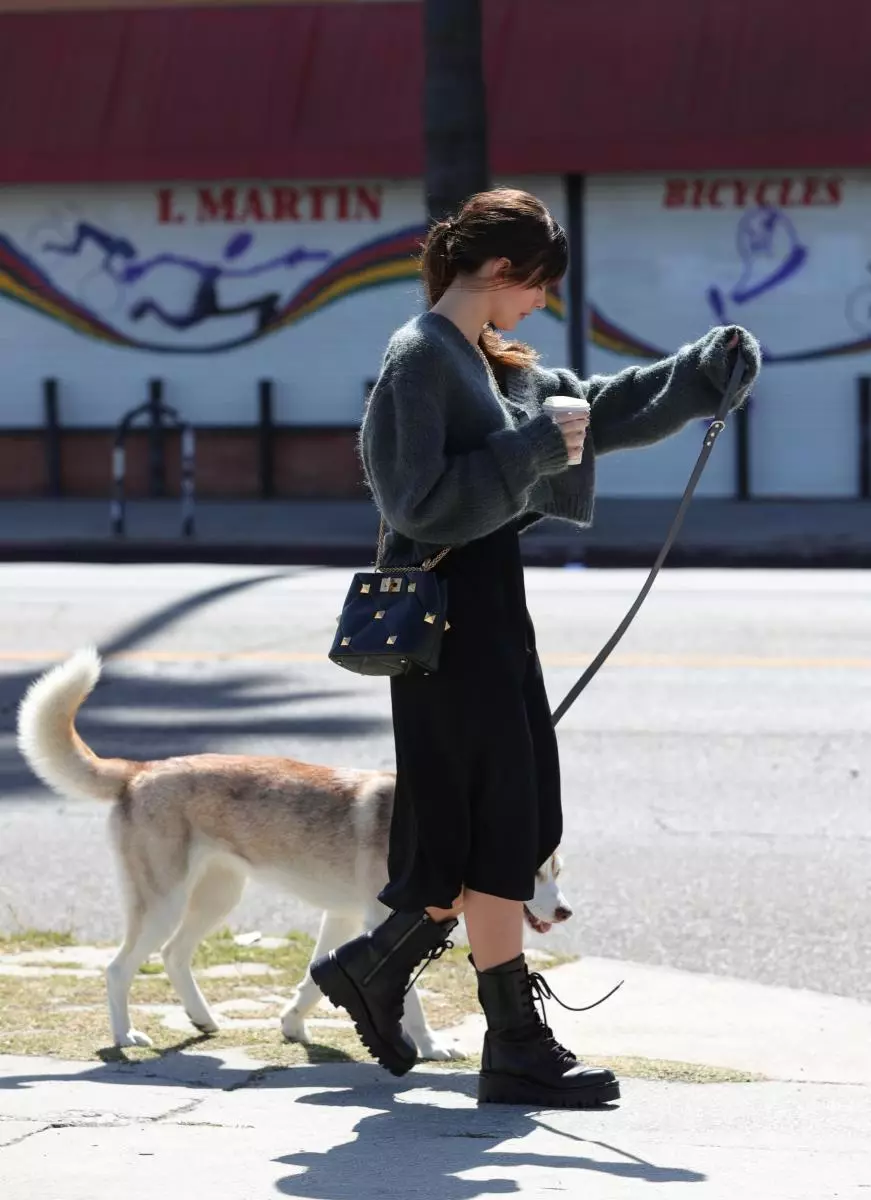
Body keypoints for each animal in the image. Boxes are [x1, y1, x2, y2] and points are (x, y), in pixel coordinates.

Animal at [17, 652, 575, 1056]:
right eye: (530, 874)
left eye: (556, 870)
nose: (566, 911)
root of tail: (140, 770)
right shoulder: (382, 919)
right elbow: (407, 995)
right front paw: (432, 1046)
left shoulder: (345, 918)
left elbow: (314, 977)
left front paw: (293, 1025)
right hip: (164, 904)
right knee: (118, 968)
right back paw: (123, 1037)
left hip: (216, 898)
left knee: (173, 955)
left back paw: (204, 1018)